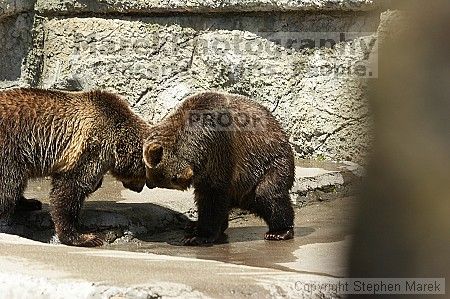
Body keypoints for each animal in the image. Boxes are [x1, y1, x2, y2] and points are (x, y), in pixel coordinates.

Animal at [0, 89, 151, 248]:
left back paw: (30, 202)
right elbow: (70, 189)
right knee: (9, 187)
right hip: (10, 147)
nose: (139, 188)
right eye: (145, 174)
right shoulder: (91, 146)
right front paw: (85, 237)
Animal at [142, 92, 294, 246]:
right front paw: (197, 229)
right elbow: (206, 196)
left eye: (162, 177)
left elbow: (212, 195)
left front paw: (197, 236)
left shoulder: (219, 150)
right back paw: (195, 225)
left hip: (269, 162)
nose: (148, 183)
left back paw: (279, 232)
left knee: (268, 194)